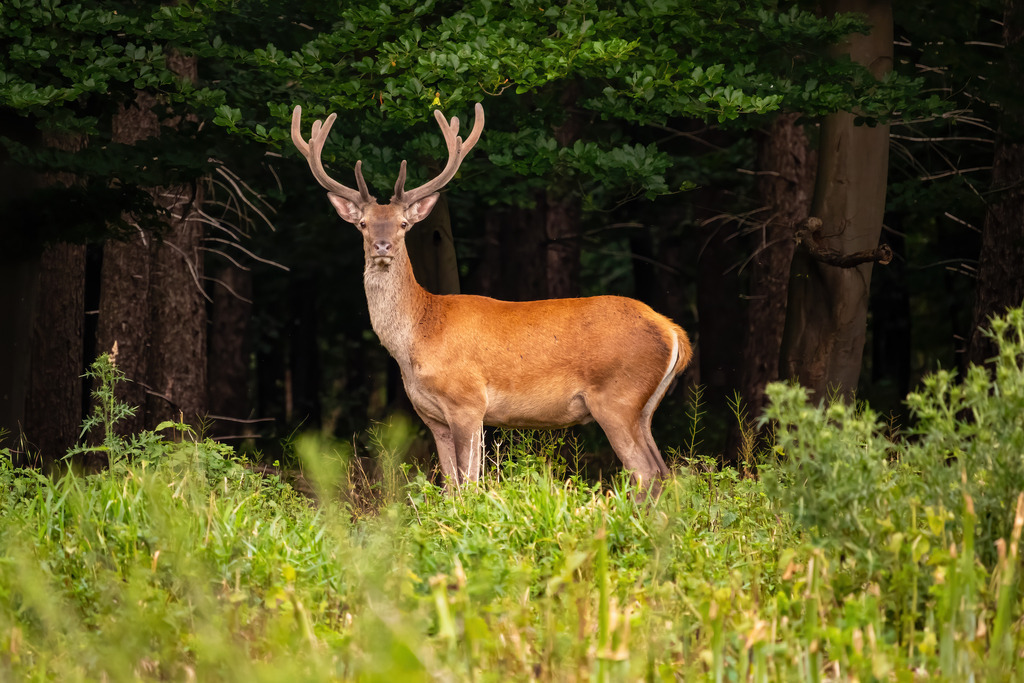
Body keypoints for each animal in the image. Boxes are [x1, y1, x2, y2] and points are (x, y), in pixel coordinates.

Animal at [291, 102, 693, 495]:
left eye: (404, 225)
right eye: (363, 224)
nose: (382, 246)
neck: (419, 333)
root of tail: (674, 333)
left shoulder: (467, 401)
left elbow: (469, 485)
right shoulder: (432, 417)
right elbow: (451, 487)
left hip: (617, 397)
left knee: (646, 472)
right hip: (643, 407)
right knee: (664, 472)